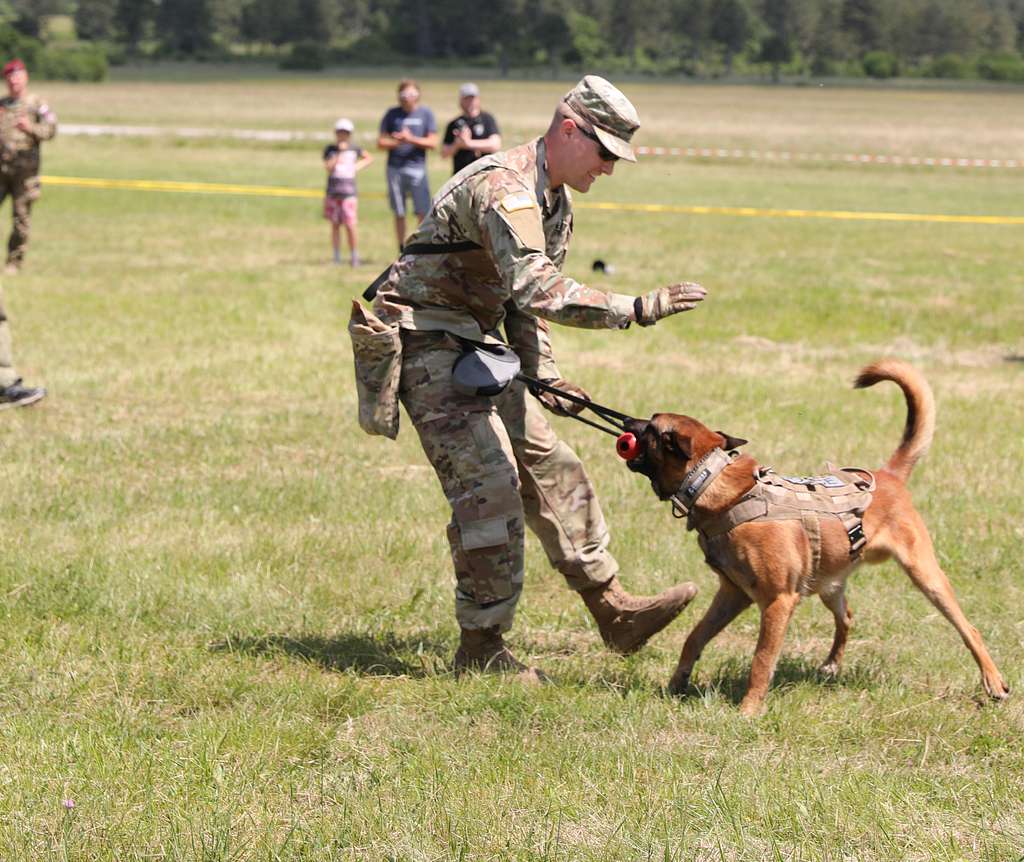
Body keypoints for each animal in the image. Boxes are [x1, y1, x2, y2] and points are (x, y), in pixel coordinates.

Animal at [622, 356, 1007, 712]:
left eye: (651, 426)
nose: (625, 422)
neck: (713, 482)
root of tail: (890, 475)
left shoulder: (778, 602)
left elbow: (761, 661)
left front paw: (748, 711)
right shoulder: (732, 594)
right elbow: (694, 637)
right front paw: (678, 681)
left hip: (925, 574)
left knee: (968, 629)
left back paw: (994, 682)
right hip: (829, 583)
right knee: (847, 617)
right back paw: (832, 665)